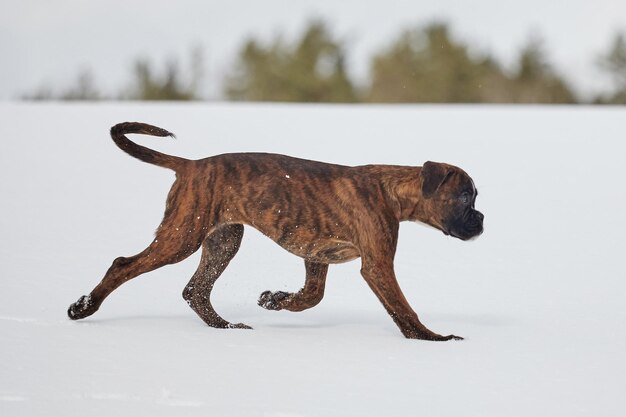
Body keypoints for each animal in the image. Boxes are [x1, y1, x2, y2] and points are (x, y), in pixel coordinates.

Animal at [68, 121, 482, 342]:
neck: (394, 192)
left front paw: (274, 300)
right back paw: (84, 307)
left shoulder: (317, 258)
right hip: (182, 237)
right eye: (465, 196)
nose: (481, 220)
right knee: (123, 265)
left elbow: (311, 296)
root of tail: (191, 165)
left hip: (223, 240)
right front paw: (432, 339)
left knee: (195, 290)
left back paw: (227, 327)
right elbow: (402, 308)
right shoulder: (377, 265)